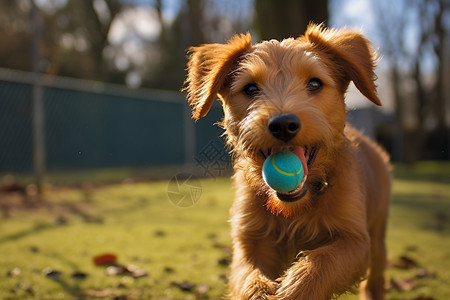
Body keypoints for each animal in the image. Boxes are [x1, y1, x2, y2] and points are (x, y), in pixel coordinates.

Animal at [183, 24, 390, 300]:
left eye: (314, 83)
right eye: (251, 89)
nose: (283, 125)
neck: (295, 207)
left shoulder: (354, 240)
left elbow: (321, 263)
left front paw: (295, 289)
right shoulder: (249, 242)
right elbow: (248, 279)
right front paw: (260, 291)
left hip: (377, 234)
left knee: (375, 277)